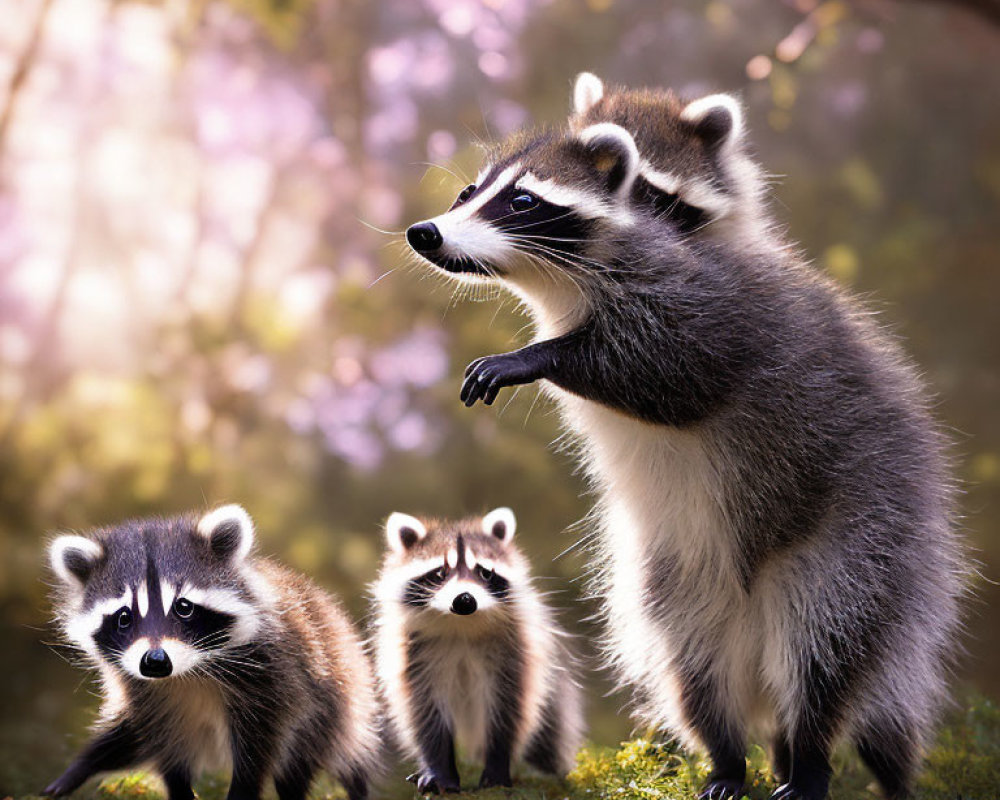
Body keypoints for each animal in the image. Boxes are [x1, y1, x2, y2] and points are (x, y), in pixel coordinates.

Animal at [43, 506, 380, 800]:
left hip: (334, 703)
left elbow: (260, 749)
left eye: (184, 607)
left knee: (300, 763)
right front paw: (177, 789)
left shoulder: (278, 679)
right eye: (124, 617)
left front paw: (243, 790)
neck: (187, 673)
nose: (155, 662)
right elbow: (158, 745)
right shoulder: (147, 697)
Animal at [372, 510, 584, 792]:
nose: (465, 600)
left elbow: (508, 706)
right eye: (440, 573)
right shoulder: (413, 653)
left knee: (551, 731)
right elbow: (425, 711)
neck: (461, 625)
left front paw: (497, 766)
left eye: (484, 573)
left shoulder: (515, 649)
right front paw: (439, 770)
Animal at [402, 75, 964, 800]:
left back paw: (810, 754)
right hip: (676, 582)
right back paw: (728, 759)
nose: (425, 233)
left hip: (859, 539)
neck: (563, 281)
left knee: (827, 649)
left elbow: (681, 365)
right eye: (469, 192)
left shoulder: (715, 304)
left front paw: (539, 357)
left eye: (524, 202)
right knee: (693, 671)